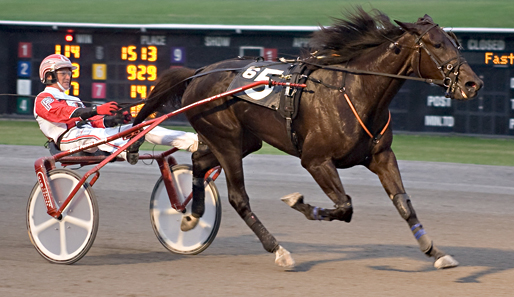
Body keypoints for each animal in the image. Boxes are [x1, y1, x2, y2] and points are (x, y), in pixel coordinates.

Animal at [131, 8, 480, 268]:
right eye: (436, 45)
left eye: (454, 41)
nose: (472, 83)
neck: (354, 92)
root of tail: (197, 73)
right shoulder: (316, 160)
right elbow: (344, 206)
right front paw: (299, 203)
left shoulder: (382, 157)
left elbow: (404, 204)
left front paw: (435, 251)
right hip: (226, 139)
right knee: (238, 197)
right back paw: (278, 249)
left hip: (243, 140)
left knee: (199, 161)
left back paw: (191, 215)